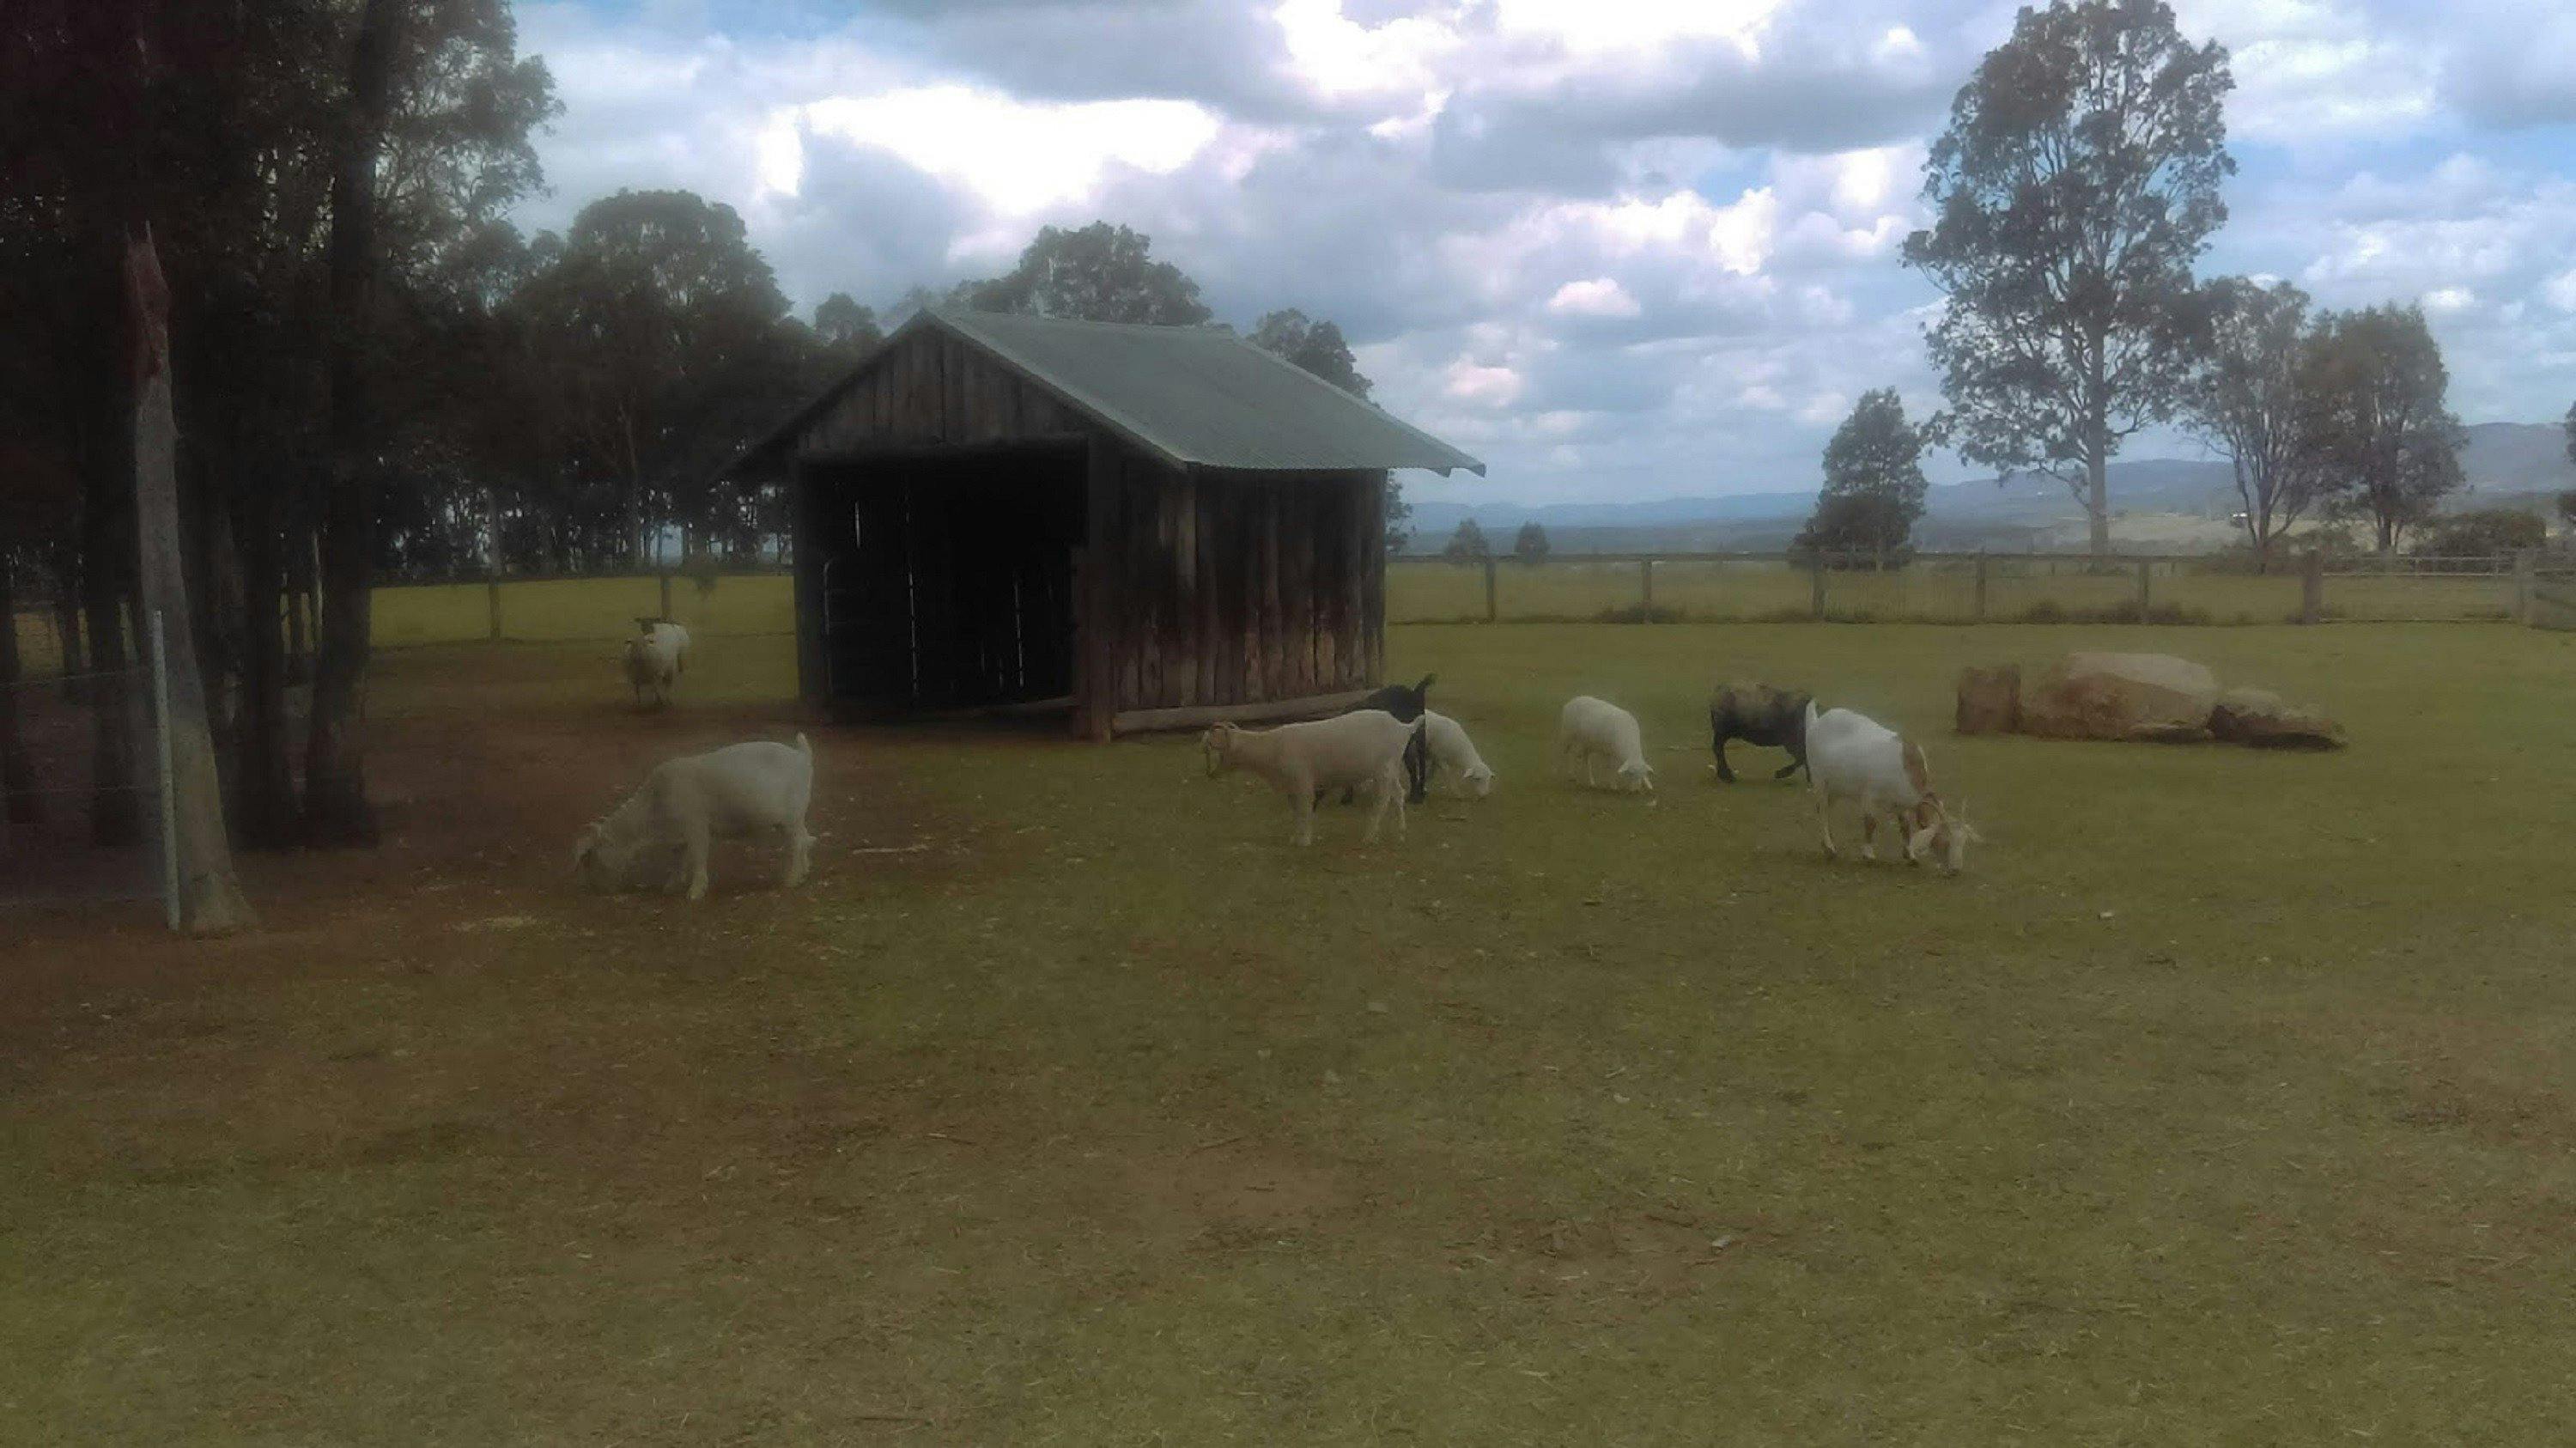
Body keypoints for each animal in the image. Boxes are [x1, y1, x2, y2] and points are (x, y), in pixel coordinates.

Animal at [574, 735, 815, 901]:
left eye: (590, 856)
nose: (596, 889)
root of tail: (802, 755)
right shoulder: (678, 834)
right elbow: (678, 858)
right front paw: (671, 886)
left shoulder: (696, 825)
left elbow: (698, 857)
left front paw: (695, 892)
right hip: (795, 818)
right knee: (805, 839)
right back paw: (803, 873)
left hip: (792, 815)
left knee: (797, 843)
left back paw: (791, 880)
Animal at [1203, 709, 1424, 846]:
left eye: (1215, 744)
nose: (1210, 774)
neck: (1272, 747)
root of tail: (1404, 727)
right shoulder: (1292, 787)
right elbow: (1296, 813)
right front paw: (1295, 837)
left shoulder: (1302, 783)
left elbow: (1305, 811)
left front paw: (1305, 841)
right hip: (1392, 770)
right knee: (1399, 794)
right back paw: (1401, 832)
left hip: (1384, 770)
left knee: (1382, 801)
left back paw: (1369, 837)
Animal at [1803, 703, 1980, 874]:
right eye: (1946, 840)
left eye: (1963, 842)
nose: (1956, 869)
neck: (1906, 767)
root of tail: (1817, 722)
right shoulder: (1869, 796)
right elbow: (1871, 823)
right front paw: (1869, 855)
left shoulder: (1901, 803)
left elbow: (1906, 826)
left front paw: (1910, 856)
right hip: (1820, 780)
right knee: (1823, 810)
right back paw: (1830, 848)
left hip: (1835, 789)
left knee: (1826, 810)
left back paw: (1827, 844)